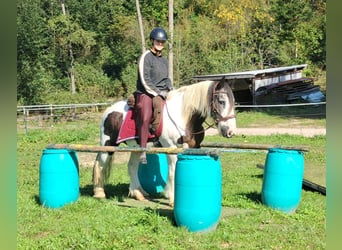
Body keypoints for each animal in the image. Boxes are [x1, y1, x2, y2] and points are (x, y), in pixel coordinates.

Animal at [93, 78, 238, 207]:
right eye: (221, 101)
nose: (230, 131)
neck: (184, 116)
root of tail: (109, 111)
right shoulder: (171, 147)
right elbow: (173, 172)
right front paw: (172, 199)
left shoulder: (194, 148)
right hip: (108, 145)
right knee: (100, 164)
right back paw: (99, 193)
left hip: (136, 147)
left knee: (132, 167)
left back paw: (139, 193)